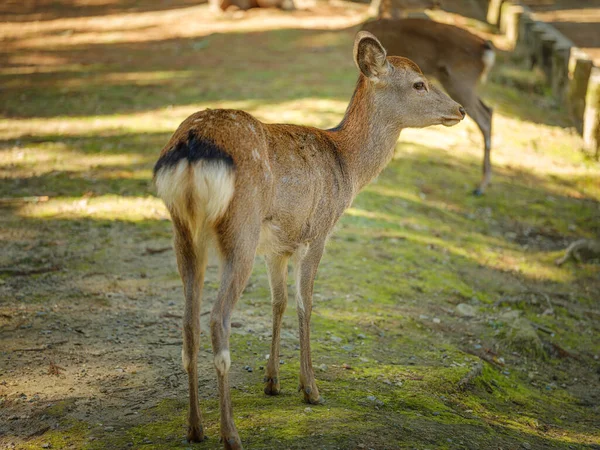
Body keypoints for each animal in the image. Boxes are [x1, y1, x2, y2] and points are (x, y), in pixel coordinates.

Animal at [154, 29, 464, 448]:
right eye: (419, 84)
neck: (346, 166)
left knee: (188, 323)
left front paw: (272, 382)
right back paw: (231, 434)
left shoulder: (276, 246)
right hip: (240, 229)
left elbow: (279, 302)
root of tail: (190, 147)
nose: (460, 109)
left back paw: (195, 428)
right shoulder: (317, 231)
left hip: (183, 231)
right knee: (218, 319)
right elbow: (306, 304)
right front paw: (310, 388)